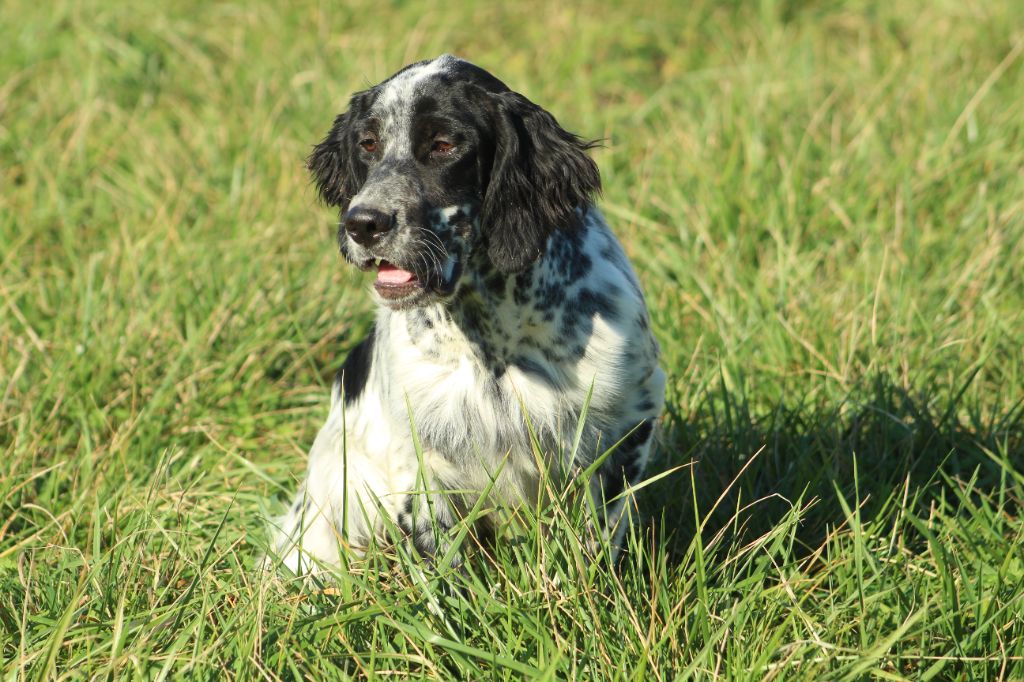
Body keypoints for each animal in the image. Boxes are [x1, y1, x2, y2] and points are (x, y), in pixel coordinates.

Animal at [268, 55, 663, 569]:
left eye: (444, 145)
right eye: (368, 144)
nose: (363, 224)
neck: (493, 340)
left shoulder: (626, 418)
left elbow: (597, 541)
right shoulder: (421, 457)